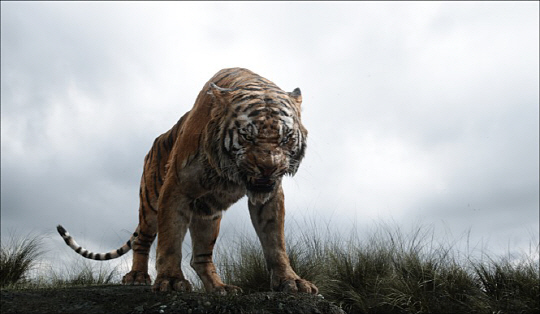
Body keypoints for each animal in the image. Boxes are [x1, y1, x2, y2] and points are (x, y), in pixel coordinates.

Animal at [57, 68, 318, 294]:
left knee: (200, 257)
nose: (268, 167)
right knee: (142, 240)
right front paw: (171, 281)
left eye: (286, 138)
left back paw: (219, 287)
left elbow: (275, 242)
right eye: (247, 136)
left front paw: (291, 281)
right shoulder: (176, 188)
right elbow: (171, 239)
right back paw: (137, 277)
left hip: (208, 212)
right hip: (150, 204)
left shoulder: (270, 196)